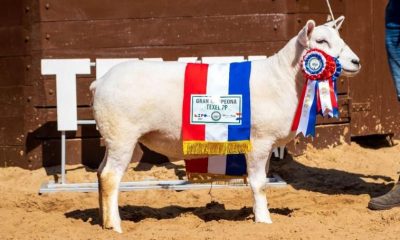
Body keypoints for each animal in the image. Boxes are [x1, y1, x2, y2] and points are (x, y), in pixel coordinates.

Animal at [90, 15, 362, 232]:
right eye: (321, 41)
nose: (356, 62)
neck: (282, 78)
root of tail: (99, 82)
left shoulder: (267, 144)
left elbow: (262, 180)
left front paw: (259, 215)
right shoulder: (259, 140)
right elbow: (258, 183)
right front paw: (264, 221)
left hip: (112, 136)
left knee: (101, 173)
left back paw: (104, 221)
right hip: (122, 135)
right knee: (111, 177)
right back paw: (115, 226)